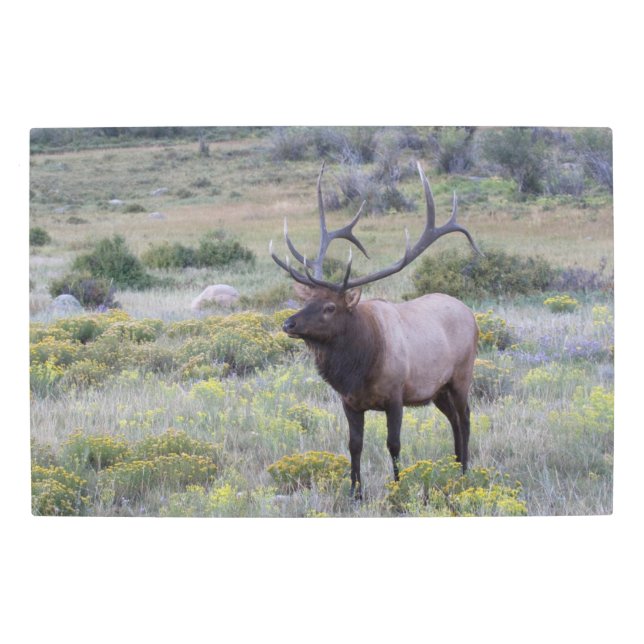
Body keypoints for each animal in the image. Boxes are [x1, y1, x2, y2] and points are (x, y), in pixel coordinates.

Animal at [270, 162, 482, 499]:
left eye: (330, 307)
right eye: (308, 300)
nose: (288, 323)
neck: (360, 367)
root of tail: (470, 314)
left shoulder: (396, 396)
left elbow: (393, 444)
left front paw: (397, 488)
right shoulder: (349, 402)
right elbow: (354, 445)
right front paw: (355, 493)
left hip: (462, 375)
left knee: (465, 418)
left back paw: (464, 471)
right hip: (437, 390)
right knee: (453, 420)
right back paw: (456, 464)